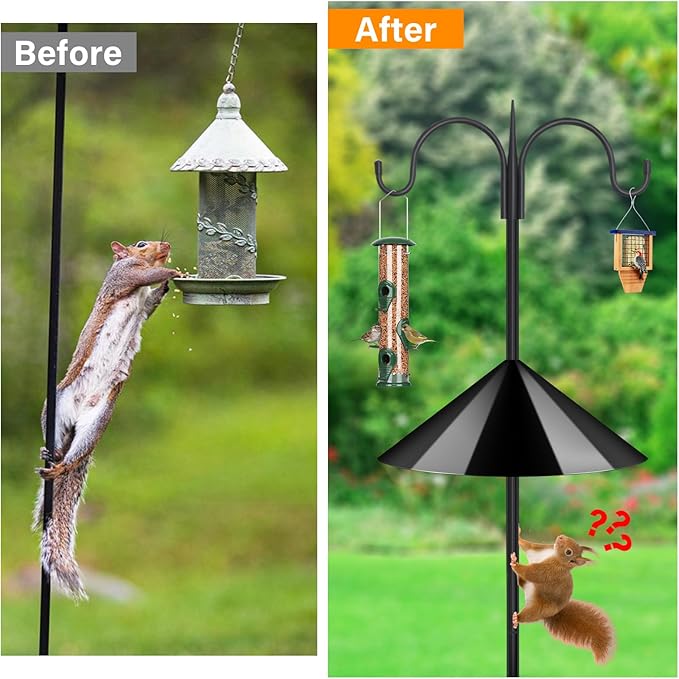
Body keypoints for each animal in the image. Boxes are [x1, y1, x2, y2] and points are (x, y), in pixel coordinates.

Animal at [32, 240, 181, 600]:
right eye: (141, 244)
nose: (167, 245)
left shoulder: (143, 306)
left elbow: (150, 303)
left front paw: (165, 285)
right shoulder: (123, 277)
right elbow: (143, 277)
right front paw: (171, 272)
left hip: (97, 420)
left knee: (74, 456)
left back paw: (60, 466)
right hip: (55, 405)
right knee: (57, 441)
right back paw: (50, 456)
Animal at [510, 528, 615, 664]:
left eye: (568, 552)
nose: (561, 537)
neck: (555, 556)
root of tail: (552, 614)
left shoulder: (550, 571)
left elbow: (533, 573)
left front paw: (515, 564)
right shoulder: (540, 550)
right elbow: (529, 546)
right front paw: (518, 534)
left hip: (540, 608)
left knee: (528, 615)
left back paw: (516, 618)